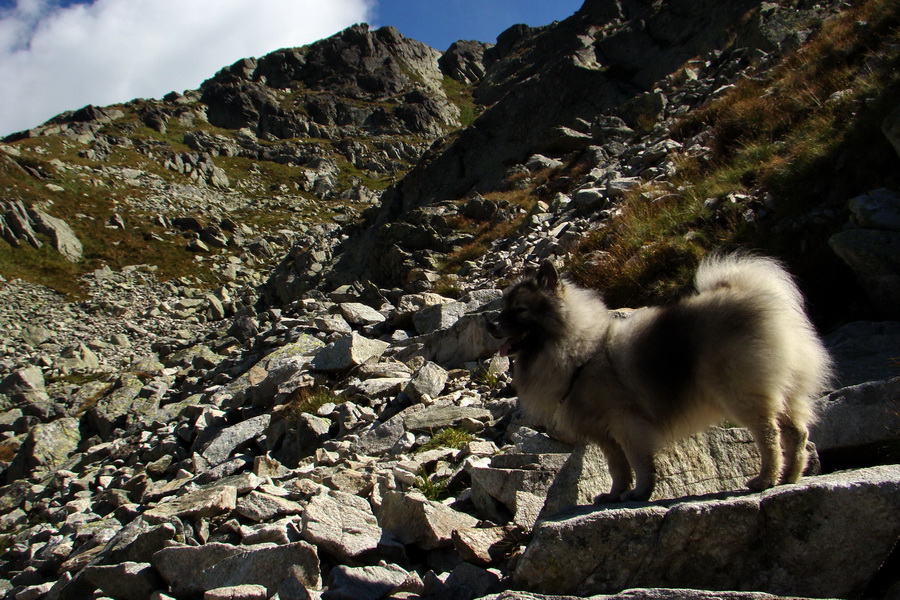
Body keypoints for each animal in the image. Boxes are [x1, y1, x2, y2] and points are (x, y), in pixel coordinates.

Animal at [488, 253, 832, 502]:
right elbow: (618, 467)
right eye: (504, 308)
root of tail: (752, 294)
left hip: (740, 394)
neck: (582, 350)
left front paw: (640, 493)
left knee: (769, 435)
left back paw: (766, 478)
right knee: (796, 433)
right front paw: (615, 495)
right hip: (785, 393)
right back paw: (790, 476)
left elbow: (639, 462)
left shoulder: (626, 423)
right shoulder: (603, 435)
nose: (491, 326)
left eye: (520, 310)